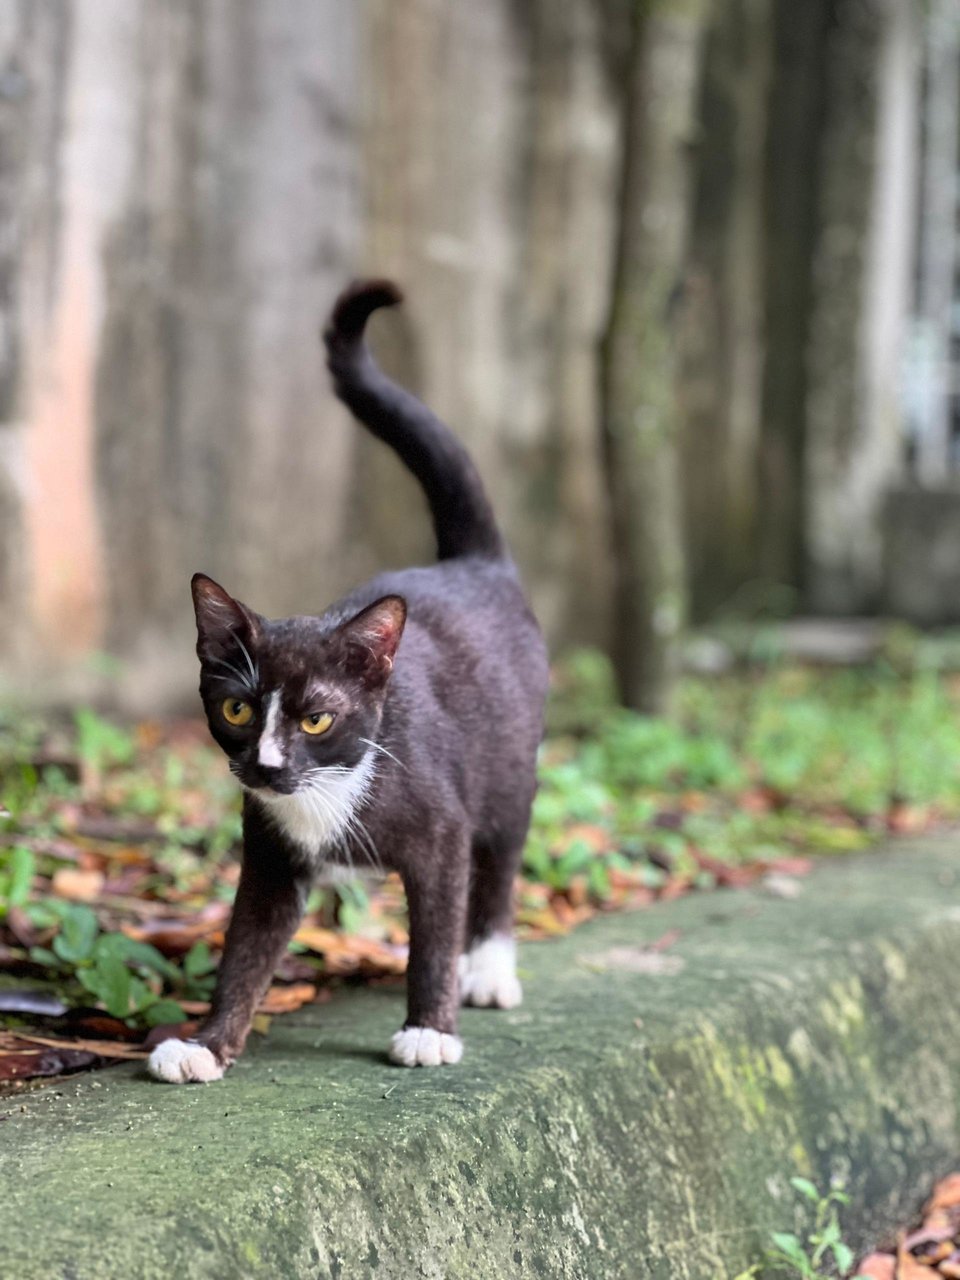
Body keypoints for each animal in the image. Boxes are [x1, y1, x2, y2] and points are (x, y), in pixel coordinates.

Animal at [152, 282, 555, 1080]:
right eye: (238, 709)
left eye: (316, 718)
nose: (265, 766)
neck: (328, 790)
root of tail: (473, 564)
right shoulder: (270, 853)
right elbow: (246, 950)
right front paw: (207, 1043)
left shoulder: (442, 828)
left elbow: (435, 931)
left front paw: (430, 1027)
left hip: (508, 763)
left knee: (501, 860)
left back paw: (489, 967)